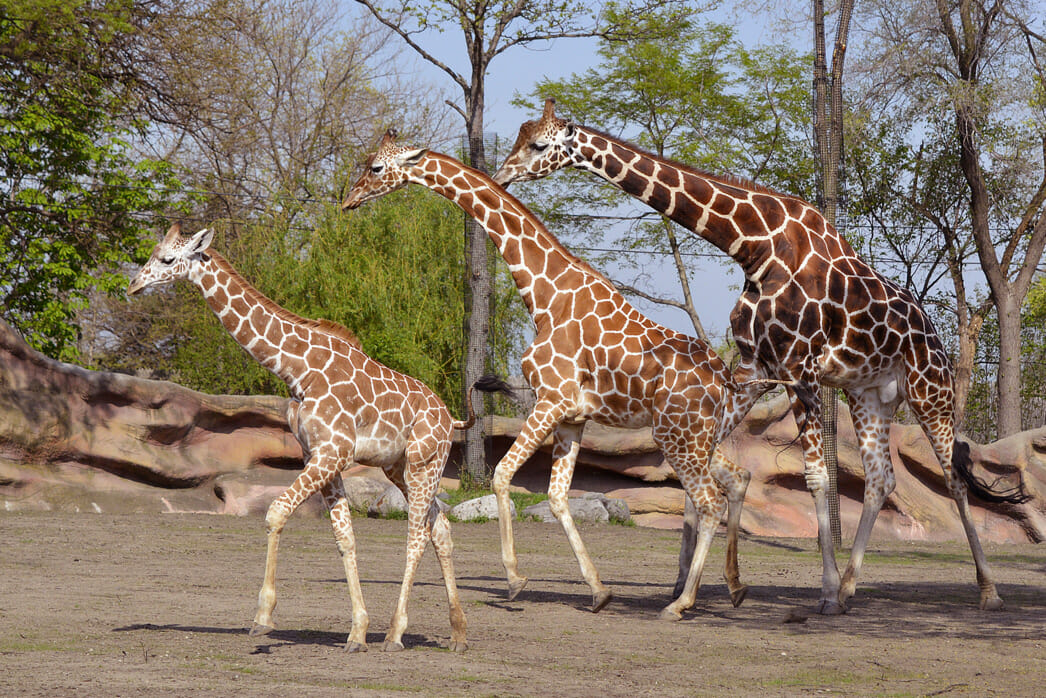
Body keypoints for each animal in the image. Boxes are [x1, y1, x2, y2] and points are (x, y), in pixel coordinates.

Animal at [128, 222, 504, 648]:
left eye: (167, 259)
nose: (134, 285)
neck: (297, 369)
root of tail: (451, 420)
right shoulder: (320, 455)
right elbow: (345, 537)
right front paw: (357, 630)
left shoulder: (333, 452)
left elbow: (276, 512)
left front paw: (263, 617)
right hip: (398, 467)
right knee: (440, 528)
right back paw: (457, 632)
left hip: (425, 462)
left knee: (417, 534)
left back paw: (396, 632)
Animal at [338, 128, 782, 619]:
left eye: (376, 167)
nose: (348, 200)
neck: (544, 295)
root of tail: (722, 381)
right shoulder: (573, 416)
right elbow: (555, 496)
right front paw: (599, 591)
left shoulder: (550, 401)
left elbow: (501, 475)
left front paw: (515, 580)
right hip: (695, 437)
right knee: (734, 481)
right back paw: (731, 587)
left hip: (676, 435)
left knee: (709, 501)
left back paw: (682, 602)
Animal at [495, 98, 1029, 611]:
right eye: (520, 137)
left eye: (539, 145)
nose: (501, 175)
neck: (754, 246)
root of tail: (932, 330)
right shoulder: (755, 365)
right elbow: (708, 463)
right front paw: (685, 585)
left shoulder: (800, 367)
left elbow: (816, 477)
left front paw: (823, 592)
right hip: (869, 395)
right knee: (881, 479)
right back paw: (853, 588)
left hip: (929, 388)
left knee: (952, 478)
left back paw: (986, 591)